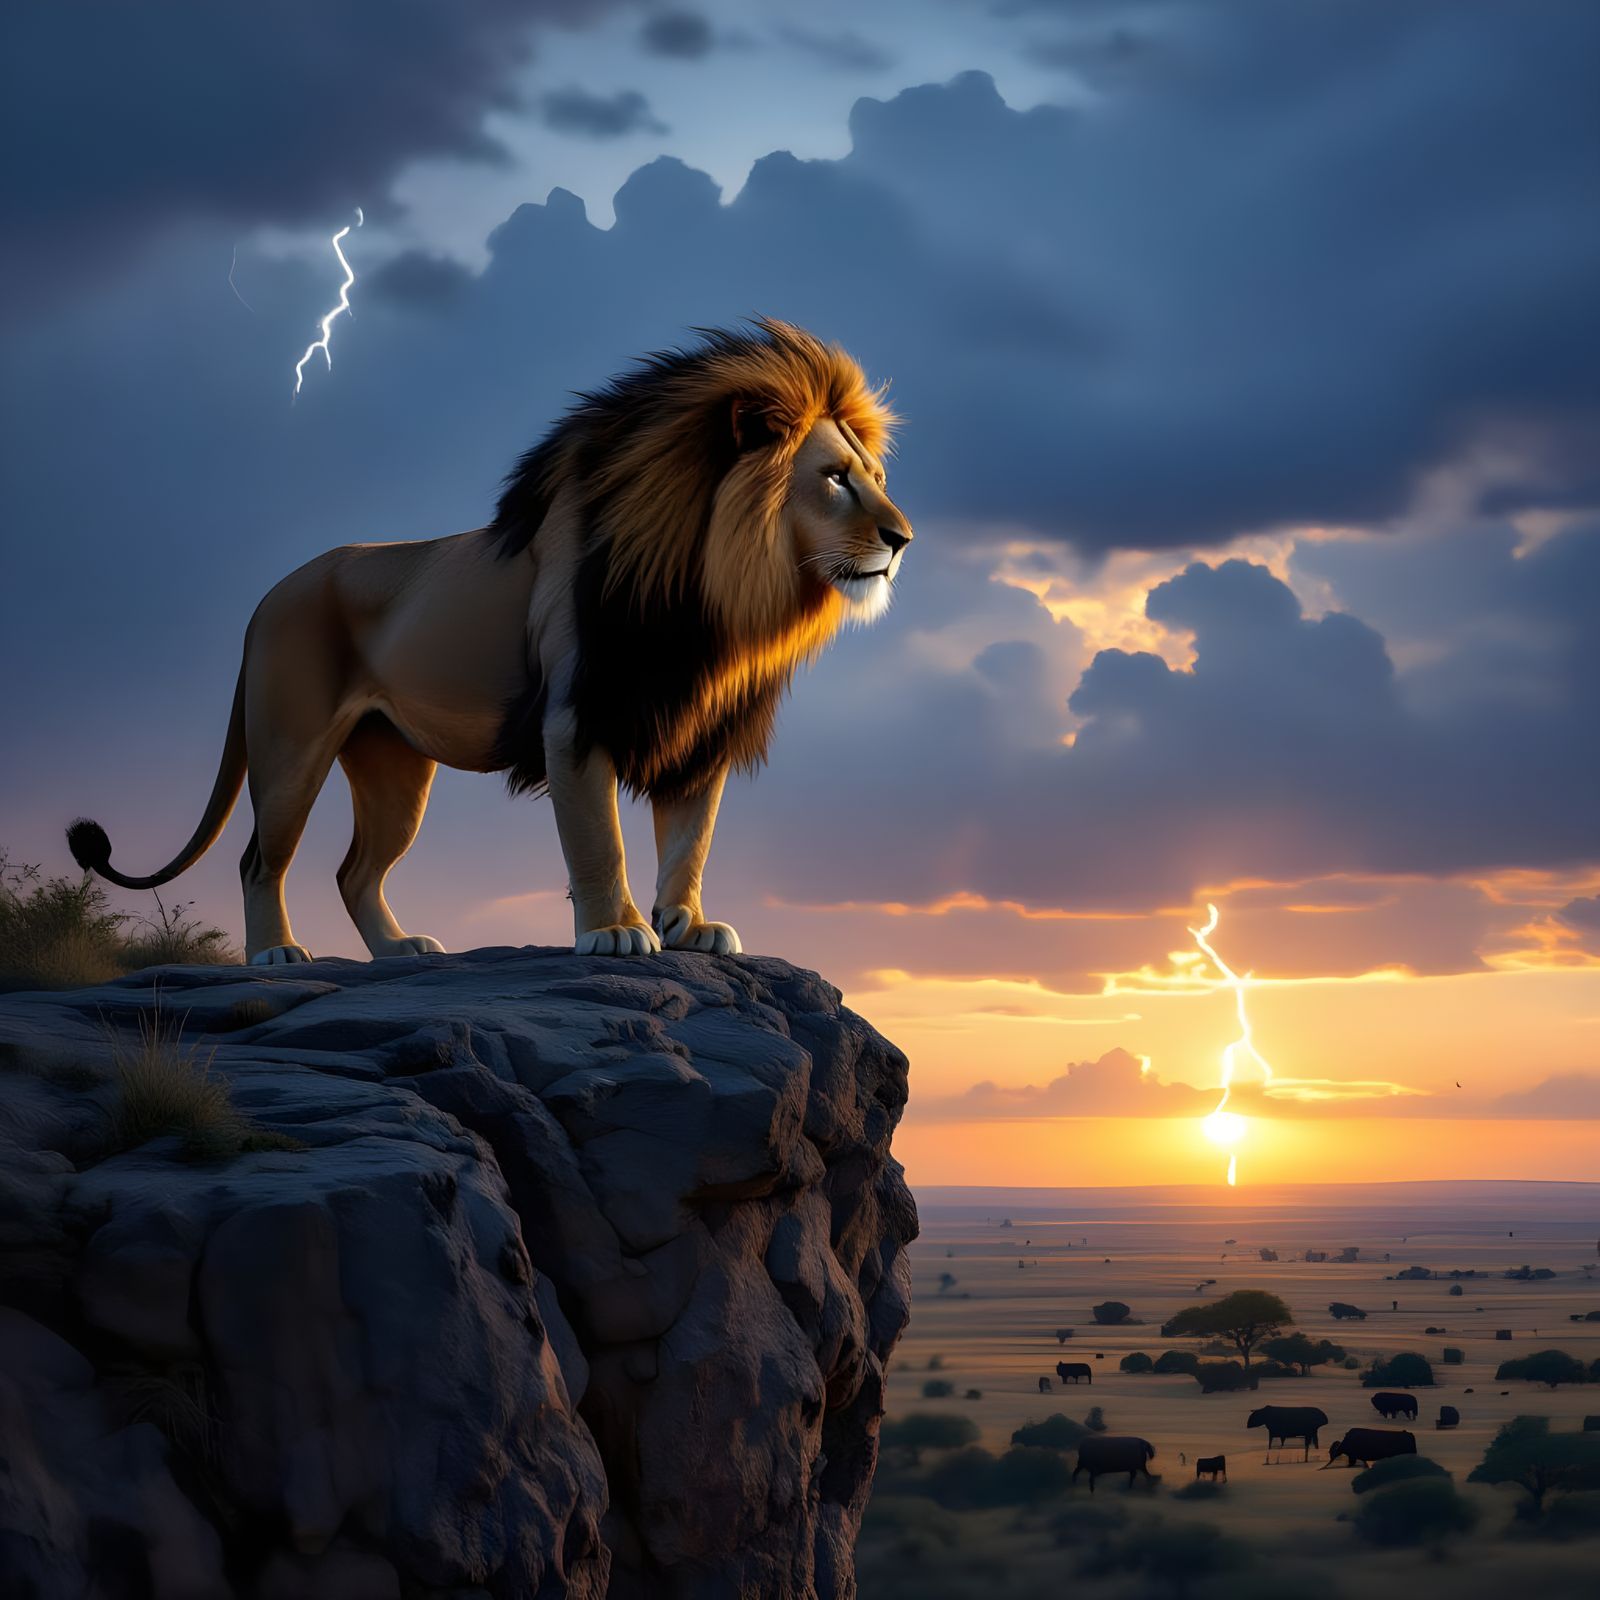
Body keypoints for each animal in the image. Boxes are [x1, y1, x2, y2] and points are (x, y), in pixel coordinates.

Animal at [67, 319, 911, 964]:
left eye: (874, 476)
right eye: (835, 478)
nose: (902, 538)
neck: (718, 600)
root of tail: (267, 597)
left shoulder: (698, 728)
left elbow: (690, 841)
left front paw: (688, 925)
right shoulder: (576, 720)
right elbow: (600, 841)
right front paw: (614, 932)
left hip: (392, 766)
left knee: (354, 871)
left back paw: (399, 950)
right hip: (290, 750)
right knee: (257, 859)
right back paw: (276, 953)